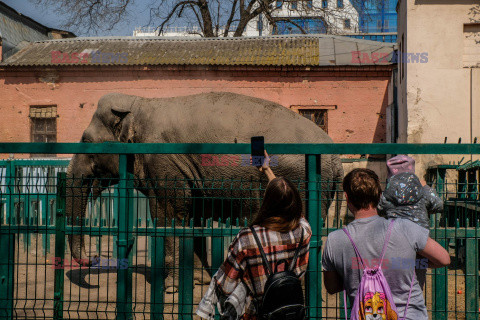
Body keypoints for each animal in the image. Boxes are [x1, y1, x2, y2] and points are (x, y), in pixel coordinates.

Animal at [66, 90, 344, 292]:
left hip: (301, 181)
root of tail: (337, 159)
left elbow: (169, 217)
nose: (94, 259)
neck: (140, 104)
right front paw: (199, 281)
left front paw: (170, 288)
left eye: (85, 141)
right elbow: (194, 217)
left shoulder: (165, 164)